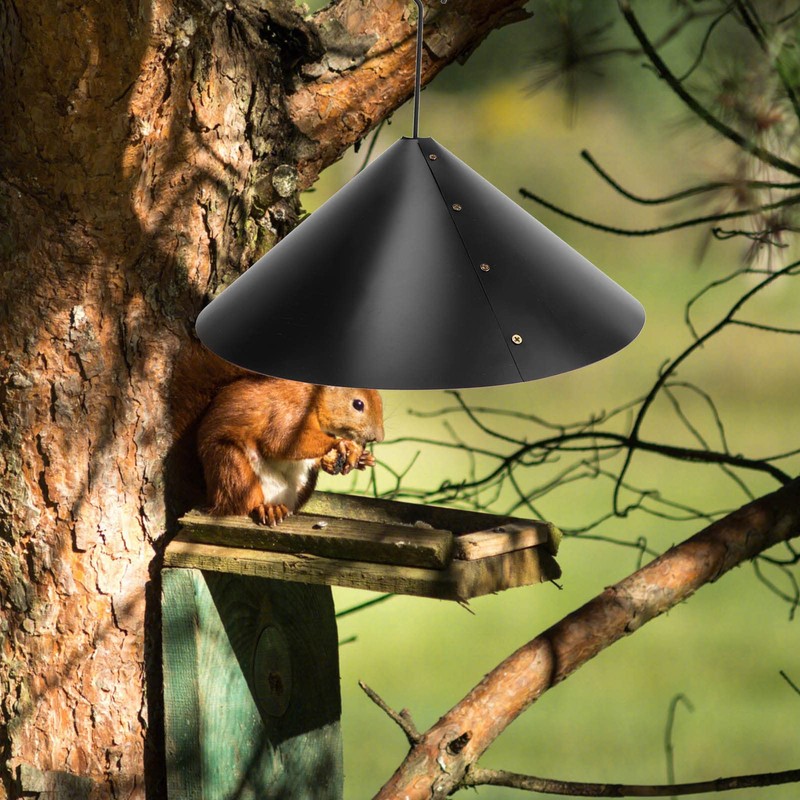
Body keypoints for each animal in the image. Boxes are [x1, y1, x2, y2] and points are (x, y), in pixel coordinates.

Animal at [168, 341, 384, 527]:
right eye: (358, 404)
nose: (378, 438)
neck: (315, 397)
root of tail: (209, 496)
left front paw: (359, 458)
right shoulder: (288, 410)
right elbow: (282, 441)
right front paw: (342, 444)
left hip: (300, 486)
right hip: (232, 467)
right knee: (240, 505)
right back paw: (265, 508)